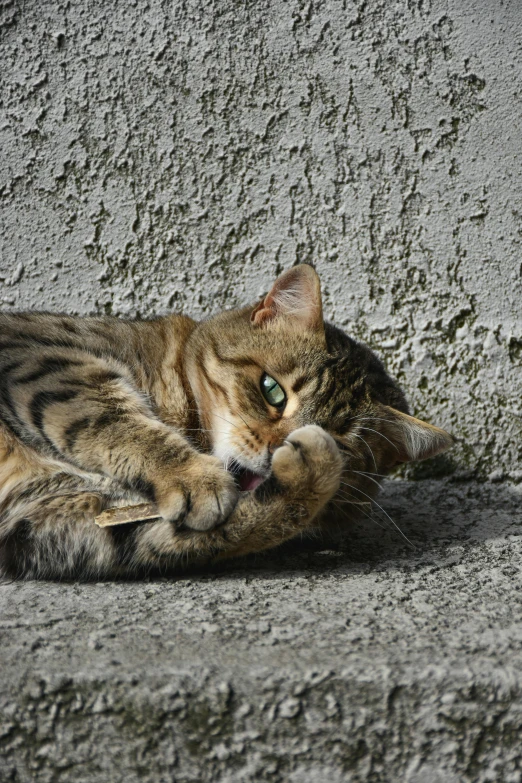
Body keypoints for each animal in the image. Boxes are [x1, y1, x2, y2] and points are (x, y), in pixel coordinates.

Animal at [0, 266, 450, 580]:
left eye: (344, 445)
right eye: (272, 391)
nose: (275, 449)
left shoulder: (49, 522)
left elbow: (215, 534)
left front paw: (310, 477)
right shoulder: (40, 357)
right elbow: (110, 417)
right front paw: (194, 477)